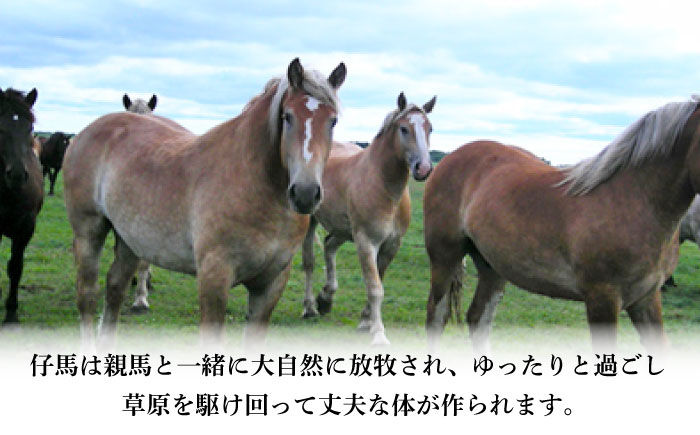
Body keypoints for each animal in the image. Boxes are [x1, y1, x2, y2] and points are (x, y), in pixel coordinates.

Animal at [63, 58, 346, 348]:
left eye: (333, 121)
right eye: (287, 117)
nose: (305, 193)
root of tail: (85, 133)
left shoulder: (270, 285)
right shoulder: (214, 278)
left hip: (130, 239)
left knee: (115, 289)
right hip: (89, 231)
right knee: (87, 294)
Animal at [301, 92, 435, 345]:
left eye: (429, 128)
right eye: (404, 129)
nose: (423, 169)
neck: (383, 186)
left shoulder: (391, 245)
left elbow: (378, 281)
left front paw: (365, 322)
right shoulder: (366, 242)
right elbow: (375, 288)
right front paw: (379, 334)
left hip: (343, 230)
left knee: (329, 246)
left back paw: (326, 299)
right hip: (311, 222)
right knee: (309, 263)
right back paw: (310, 308)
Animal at [424, 96, 700, 353]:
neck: (633, 199)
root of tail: (449, 159)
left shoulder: (646, 297)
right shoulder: (602, 299)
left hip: (492, 267)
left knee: (478, 318)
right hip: (445, 258)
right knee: (437, 316)